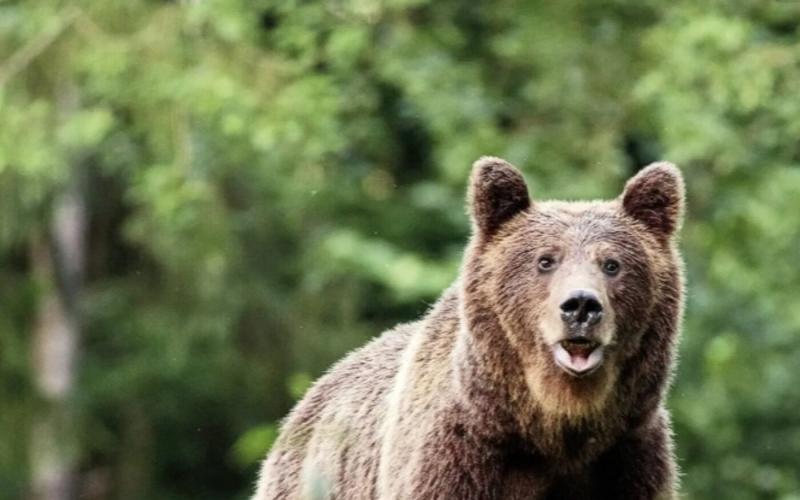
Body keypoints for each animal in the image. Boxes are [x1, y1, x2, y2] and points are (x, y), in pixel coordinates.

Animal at [255, 155, 688, 496]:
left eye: (612, 264)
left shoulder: (627, 457)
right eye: (545, 260)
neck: (555, 427)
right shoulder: (458, 454)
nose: (581, 305)